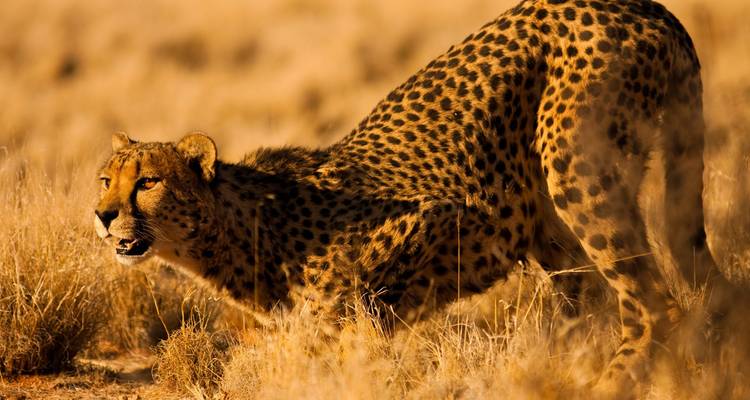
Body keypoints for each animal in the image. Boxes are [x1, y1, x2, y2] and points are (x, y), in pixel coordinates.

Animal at [95, 0, 715, 395]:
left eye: (147, 182)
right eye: (105, 180)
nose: (102, 216)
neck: (242, 225)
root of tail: (642, 4)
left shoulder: (436, 217)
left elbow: (360, 330)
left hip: (577, 170)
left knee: (655, 305)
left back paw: (607, 384)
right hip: (550, 213)